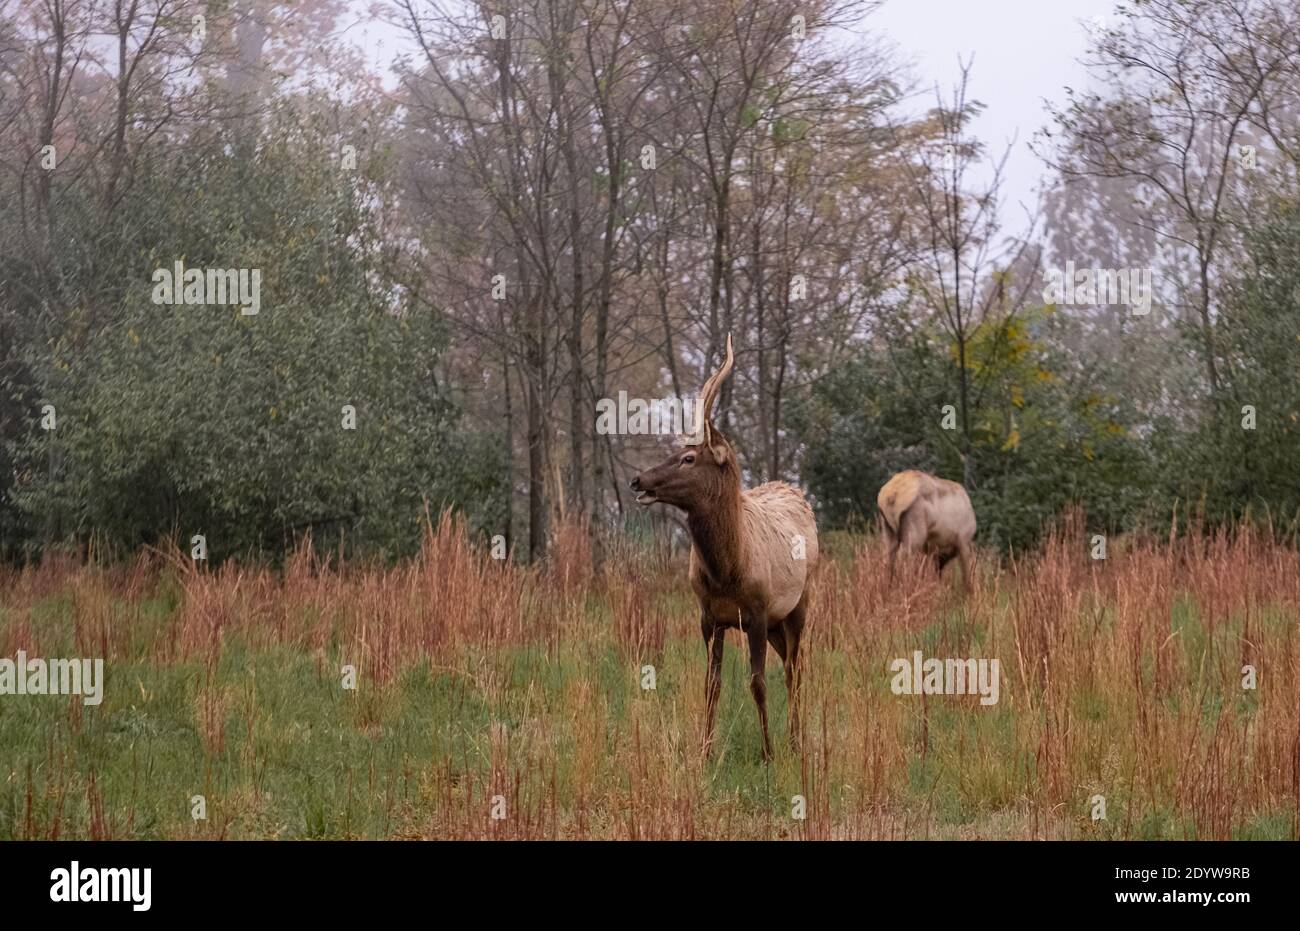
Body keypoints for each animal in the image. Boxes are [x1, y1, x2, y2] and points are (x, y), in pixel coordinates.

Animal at [629, 334, 818, 762]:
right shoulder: (709, 616)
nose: (637, 480)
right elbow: (710, 684)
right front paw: (704, 751)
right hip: (779, 623)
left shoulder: (759, 612)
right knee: (791, 666)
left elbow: (757, 682)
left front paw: (768, 753)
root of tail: (796, 492)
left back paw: (796, 741)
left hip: (799, 605)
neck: (727, 569)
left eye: (688, 458)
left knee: (795, 670)